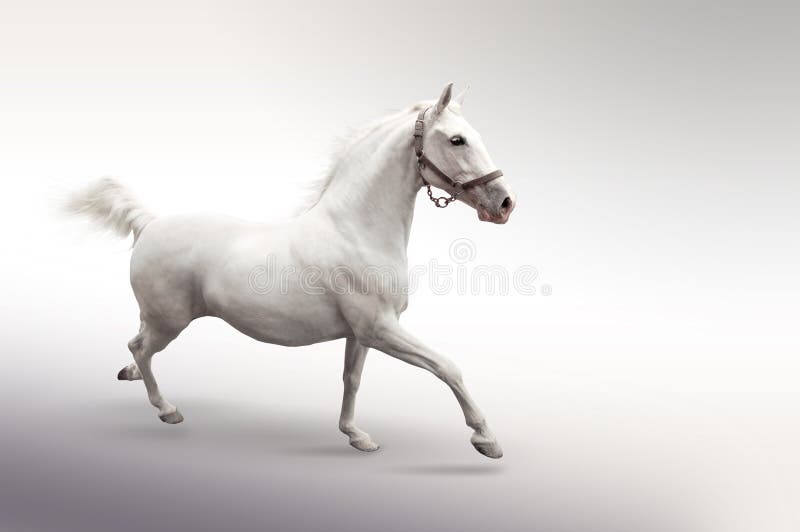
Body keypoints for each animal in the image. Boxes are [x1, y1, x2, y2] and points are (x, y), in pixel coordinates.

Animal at [65, 83, 516, 459]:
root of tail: (149, 224)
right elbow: (447, 366)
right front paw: (486, 439)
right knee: (141, 348)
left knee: (135, 345)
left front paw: (356, 436)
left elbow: (351, 379)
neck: (356, 229)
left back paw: (129, 377)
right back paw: (167, 409)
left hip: (158, 317)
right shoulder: (381, 329)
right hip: (169, 321)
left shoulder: (361, 334)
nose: (504, 203)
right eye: (457, 139)